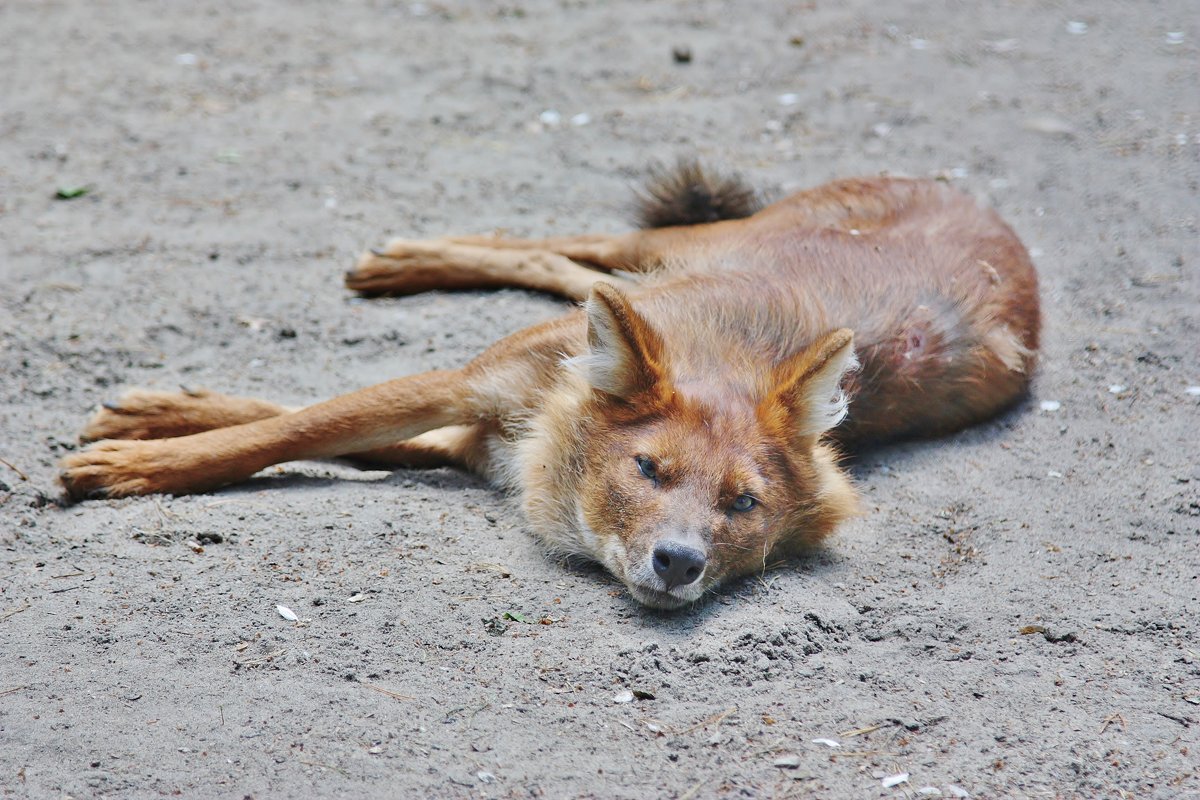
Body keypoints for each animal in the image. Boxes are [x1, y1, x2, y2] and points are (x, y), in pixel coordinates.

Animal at [60, 165, 1041, 609]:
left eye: (743, 505)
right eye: (648, 470)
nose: (678, 563)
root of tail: (988, 208)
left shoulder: (483, 436)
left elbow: (315, 427)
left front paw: (153, 425)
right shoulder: (466, 387)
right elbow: (286, 429)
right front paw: (142, 454)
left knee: (580, 275)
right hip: (693, 242)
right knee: (582, 249)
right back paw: (413, 258)